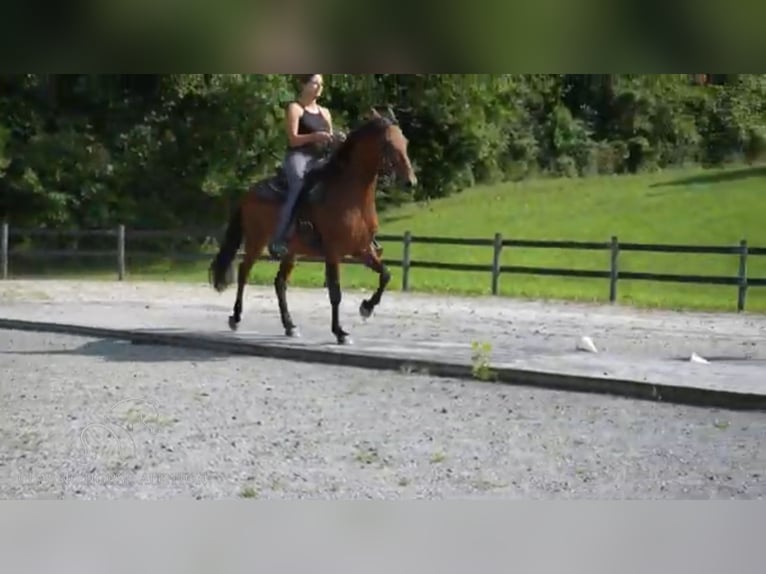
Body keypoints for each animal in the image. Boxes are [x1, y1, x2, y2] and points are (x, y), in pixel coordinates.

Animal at [207, 108, 416, 346]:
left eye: (405, 142)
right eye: (388, 144)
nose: (411, 181)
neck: (350, 195)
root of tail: (249, 193)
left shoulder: (362, 250)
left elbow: (386, 275)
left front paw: (366, 308)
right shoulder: (333, 252)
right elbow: (335, 292)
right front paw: (340, 332)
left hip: (291, 251)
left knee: (280, 283)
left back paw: (290, 326)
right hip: (256, 241)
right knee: (244, 272)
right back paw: (236, 317)